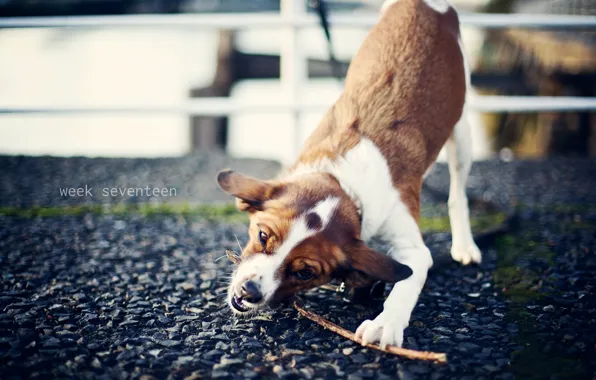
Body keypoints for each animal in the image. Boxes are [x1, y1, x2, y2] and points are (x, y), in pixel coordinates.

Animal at [217, 0, 482, 348]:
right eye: (262, 236)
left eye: (304, 273)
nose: (249, 292)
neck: (346, 182)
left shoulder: (411, 244)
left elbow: (407, 280)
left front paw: (386, 324)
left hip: (462, 132)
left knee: (458, 193)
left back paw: (464, 245)